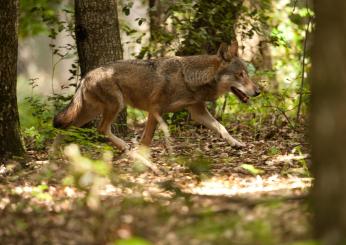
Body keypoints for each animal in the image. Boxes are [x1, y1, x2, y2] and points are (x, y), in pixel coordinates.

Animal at [52, 40, 260, 151]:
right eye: (240, 75)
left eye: (247, 74)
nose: (258, 92)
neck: (189, 78)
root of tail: (86, 75)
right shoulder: (155, 110)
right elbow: (147, 139)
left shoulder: (197, 112)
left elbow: (221, 127)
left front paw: (236, 143)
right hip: (115, 106)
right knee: (101, 129)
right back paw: (125, 147)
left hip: (92, 112)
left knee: (67, 128)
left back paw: (56, 156)